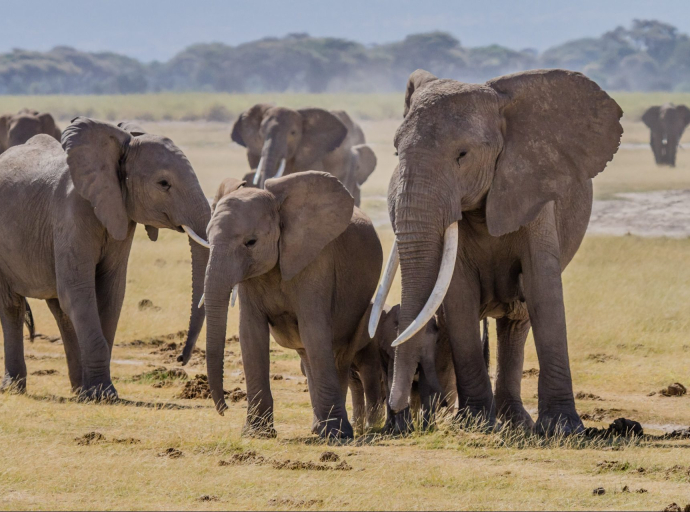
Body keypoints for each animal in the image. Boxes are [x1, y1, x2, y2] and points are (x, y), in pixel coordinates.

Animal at [0, 117, 211, 398]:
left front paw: (97, 392)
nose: (180, 358)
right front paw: (104, 395)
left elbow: (110, 293)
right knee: (13, 305)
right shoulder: (71, 211)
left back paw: (78, 389)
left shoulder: (121, 213)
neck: (122, 144)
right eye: (163, 183)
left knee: (60, 310)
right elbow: (78, 291)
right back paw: (15, 388)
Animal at [199, 171, 383, 439]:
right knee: (308, 357)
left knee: (339, 355)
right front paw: (257, 434)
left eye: (251, 242)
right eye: (207, 238)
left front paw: (336, 435)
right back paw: (318, 428)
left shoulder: (316, 262)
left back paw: (333, 430)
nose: (224, 409)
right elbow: (251, 334)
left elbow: (314, 331)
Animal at [369, 69, 623, 435]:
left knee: (516, 320)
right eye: (395, 152)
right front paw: (475, 424)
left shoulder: (535, 193)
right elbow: (458, 293)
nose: (396, 406)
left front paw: (563, 428)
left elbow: (542, 289)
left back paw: (517, 422)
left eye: (462, 154)